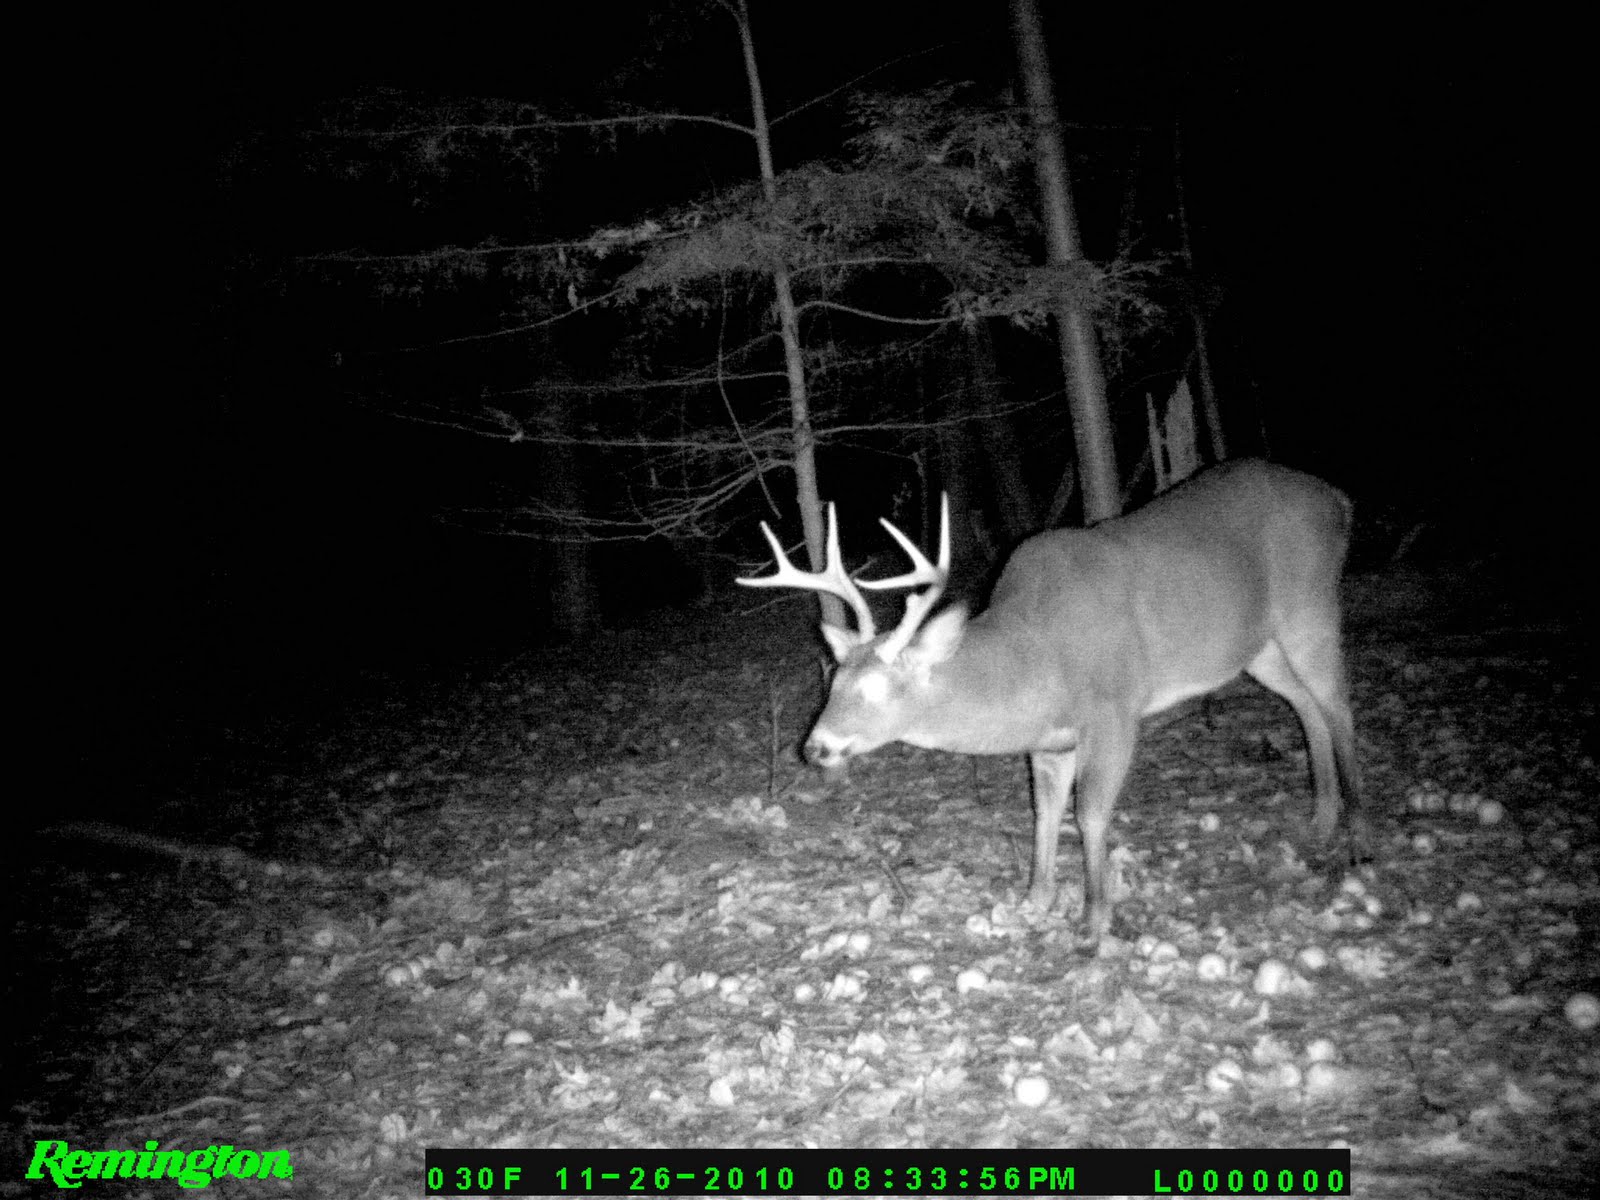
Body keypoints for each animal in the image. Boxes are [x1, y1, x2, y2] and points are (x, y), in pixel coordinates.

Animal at [737, 458, 1361, 942]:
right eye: (834, 682)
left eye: (875, 688)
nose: (815, 748)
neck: (1037, 657)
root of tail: (1338, 497)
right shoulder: (1050, 739)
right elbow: (1044, 812)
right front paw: (1034, 899)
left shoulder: (1114, 709)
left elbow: (1089, 813)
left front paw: (1093, 918)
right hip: (1259, 646)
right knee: (1306, 705)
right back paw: (1319, 823)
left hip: (1310, 605)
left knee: (1339, 703)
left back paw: (1359, 835)